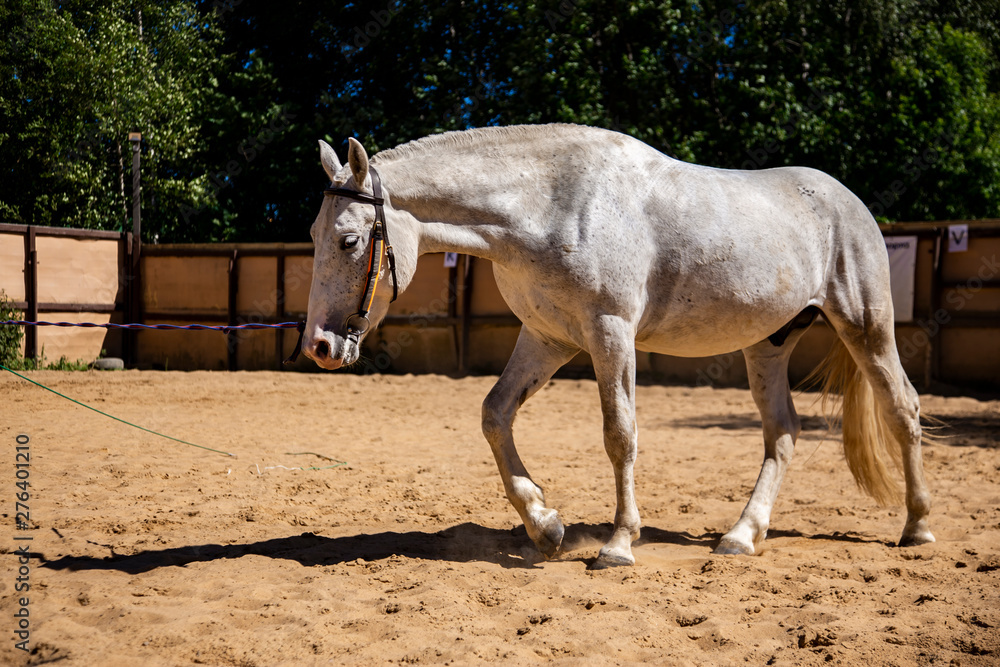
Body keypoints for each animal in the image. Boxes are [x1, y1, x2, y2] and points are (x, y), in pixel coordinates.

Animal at [301, 124, 934, 569]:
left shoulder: (610, 332)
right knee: (782, 433)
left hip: (866, 327)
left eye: (349, 240)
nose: (320, 347)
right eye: (313, 235)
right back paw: (741, 536)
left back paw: (917, 528)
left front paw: (618, 544)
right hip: (768, 346)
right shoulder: (548, 338)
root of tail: (846, 201)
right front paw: (546, 526)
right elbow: (495, 415)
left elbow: (619, 435)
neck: (550, 205)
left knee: (902, 409)